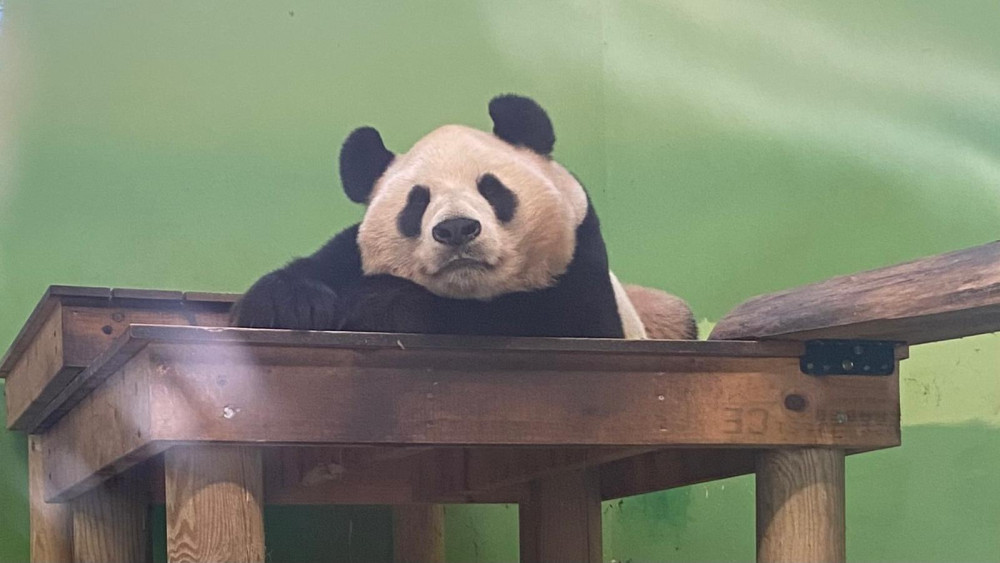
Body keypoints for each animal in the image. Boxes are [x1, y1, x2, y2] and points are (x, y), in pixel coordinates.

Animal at [231, 94, 693, 340]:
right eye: (416, 203)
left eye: (492, 189)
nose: (456, 229)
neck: (470, 291)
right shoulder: (348, 251)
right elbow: (305, 272)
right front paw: (295, 305)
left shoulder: (582, 257)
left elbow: (552, 324)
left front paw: (379, 302)